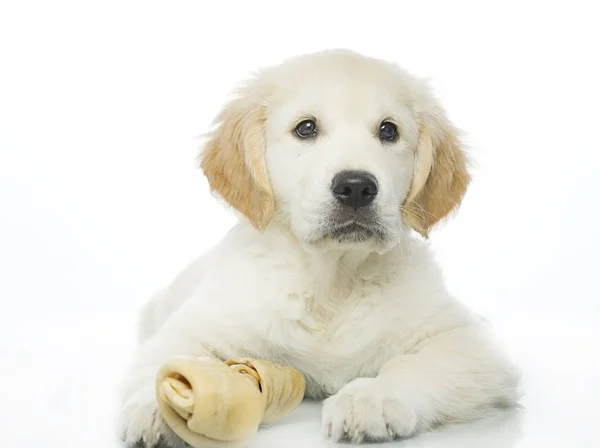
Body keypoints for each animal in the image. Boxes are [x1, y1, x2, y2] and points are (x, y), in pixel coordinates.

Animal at [118, 49, 520, 447]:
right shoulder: (194, 329)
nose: (356, 187)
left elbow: (413, 365)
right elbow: (165, 361)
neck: (332, 281)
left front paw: (371, 398)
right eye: (306, 128)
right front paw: (160, 408)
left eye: (389, 130)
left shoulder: (470, 342)